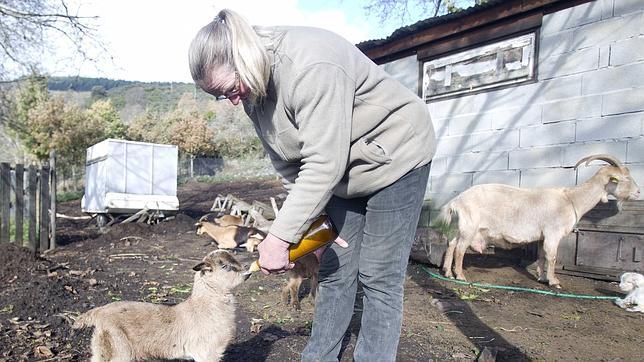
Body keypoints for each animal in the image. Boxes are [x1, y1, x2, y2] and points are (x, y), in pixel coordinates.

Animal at [71, 250, 249, 360]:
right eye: (225, 266)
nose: (247, 269)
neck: (203, 307)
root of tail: (99, 312)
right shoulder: (205, 352)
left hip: (101, 348)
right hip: (119, 348)